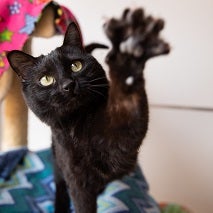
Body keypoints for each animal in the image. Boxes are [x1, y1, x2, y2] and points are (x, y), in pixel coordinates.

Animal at [7, 8, 170, 213]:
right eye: (46, 79)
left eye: (76, 65)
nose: (68, 85)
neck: (79, 125)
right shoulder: (76, 178)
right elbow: (80, 203)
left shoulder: (124, 139)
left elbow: (127, 104)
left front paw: (128, 57)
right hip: (57, 157)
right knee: (59, 184)